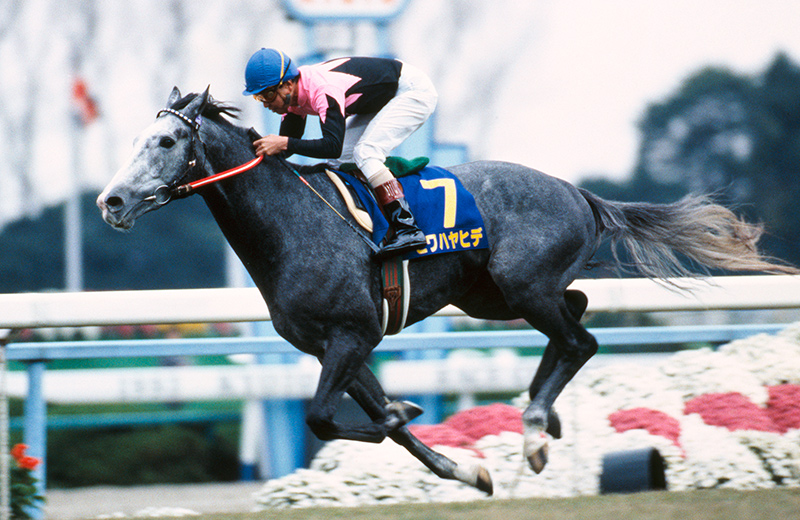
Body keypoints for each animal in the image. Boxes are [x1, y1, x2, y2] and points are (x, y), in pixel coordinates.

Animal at [97, 87, 796, 495]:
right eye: (133, 141)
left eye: (166, 140)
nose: (111, 201)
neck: (290, 223)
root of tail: (578, 192)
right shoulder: (336, 346)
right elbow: (379, 424)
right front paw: (464, 466)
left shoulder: (351, 335)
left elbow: (327, 418)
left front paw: (405, 415)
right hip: (493, 295)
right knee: (574, 317)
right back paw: (541, 417)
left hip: (521, 286)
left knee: (581, 339)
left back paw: (537, 428)